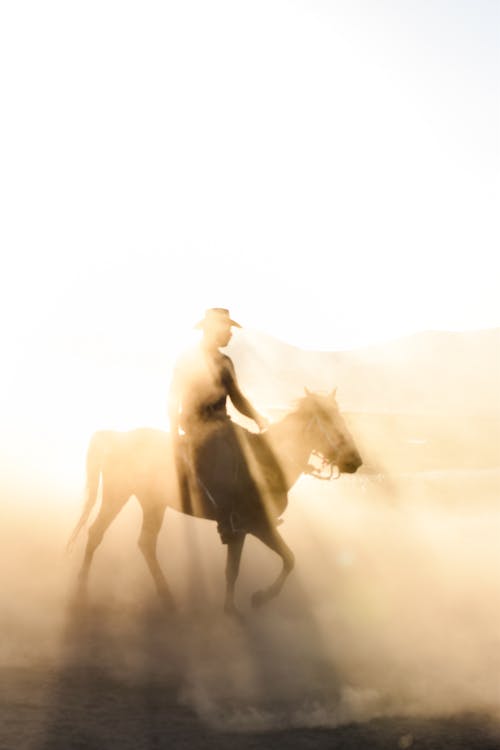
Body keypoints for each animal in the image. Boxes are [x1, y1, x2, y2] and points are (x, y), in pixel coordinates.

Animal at [68, 390, 362, 612]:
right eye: (327, 419)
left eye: (342, 418)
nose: (355, 461)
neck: (267, 459)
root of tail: (116, 437)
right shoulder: (252, 526)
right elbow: (274, 561)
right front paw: (254, 599)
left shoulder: (248, 529)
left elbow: (270, 561)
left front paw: (242, 601)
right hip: (117, 495)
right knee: (96, 533)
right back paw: (81, 590)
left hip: (153, 504)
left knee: (145, 543)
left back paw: (165, 594)